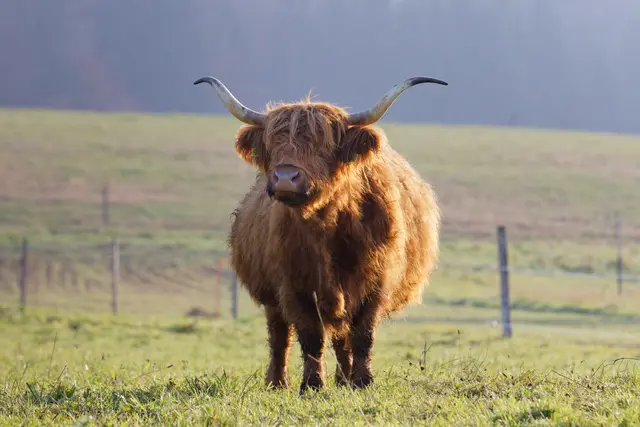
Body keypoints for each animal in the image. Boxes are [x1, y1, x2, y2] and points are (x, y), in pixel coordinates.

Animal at [194, 75, 447, 394]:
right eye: (272, 144)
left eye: (323, 145)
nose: (285, 179)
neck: (328, 228)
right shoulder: (295, 285)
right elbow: (311, 336)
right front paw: (312, 385)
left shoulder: (376, 282)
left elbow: (362, 335)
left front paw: (362, 382)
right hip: (273, 297)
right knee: (280, 336)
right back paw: (278, 382)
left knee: (342, 338)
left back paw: (344, 379)